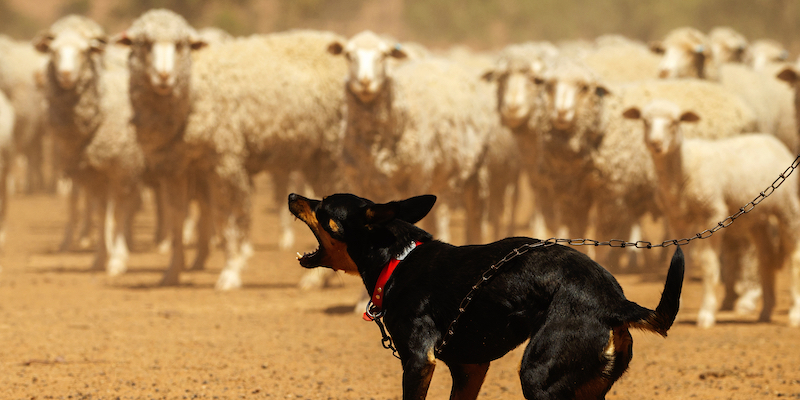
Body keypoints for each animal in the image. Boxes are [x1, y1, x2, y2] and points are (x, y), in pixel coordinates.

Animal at [34, 16, 146, 278]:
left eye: (84, 51)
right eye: (54, 51)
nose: (65, 74)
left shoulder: (122, 168)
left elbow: (117, 214)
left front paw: (117, 260)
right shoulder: (94, 175)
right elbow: (101, 213)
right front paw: (99, 258)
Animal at [118, 9, 346, 290]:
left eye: (180, 45)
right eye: (144, 44)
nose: (164, 77)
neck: (193, 89)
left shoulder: (224, 161)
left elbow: (225, 220)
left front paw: (230, 272)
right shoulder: (176, 167)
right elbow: (177, 221)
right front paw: (172, 273)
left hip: (332, 151)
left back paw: (315, 279)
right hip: (316, 156)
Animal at [288, 192, 680, 398]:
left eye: (323, 207)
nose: (293, 196)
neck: (399, 259)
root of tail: (613, 302)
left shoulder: (418, 362)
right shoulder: (470, 369)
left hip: (539, 376)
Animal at [624, 97, 800, 328]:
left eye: (675, 122)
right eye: (645, 121)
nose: (656, 144)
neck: (682, 167)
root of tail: (772, 140)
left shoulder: (712, 212)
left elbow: (708, 264)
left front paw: (706, 313)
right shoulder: (677, 218)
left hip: (787, 207)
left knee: (794, 255)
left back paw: (794, 313)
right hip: (757, 219)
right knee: (766, 257)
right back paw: (766, 310)